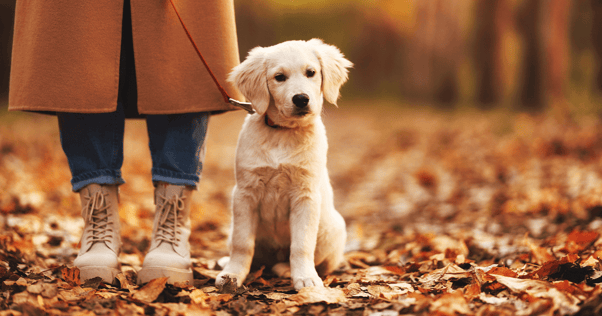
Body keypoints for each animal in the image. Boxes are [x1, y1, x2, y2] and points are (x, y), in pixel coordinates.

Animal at [216, 38, 352, 290]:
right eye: (279, 77)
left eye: (311, 73)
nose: (301, 99)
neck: (283, 133)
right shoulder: (244, 193)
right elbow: (242, 243)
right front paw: (233, 274)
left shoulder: (305, 195)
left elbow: (301, 245)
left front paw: (306, 278)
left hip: (334, 228)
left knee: (317, 261)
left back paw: (286, 269)